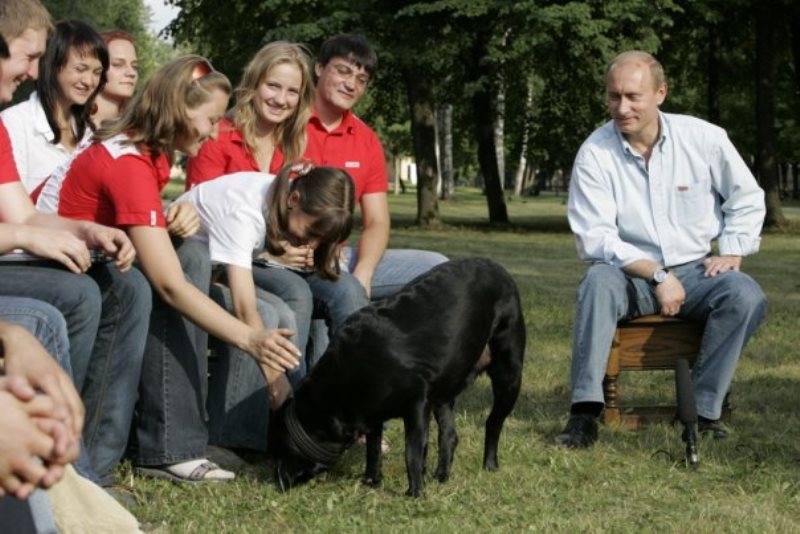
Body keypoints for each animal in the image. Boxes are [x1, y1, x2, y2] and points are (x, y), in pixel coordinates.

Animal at [272, 258, 528, 498]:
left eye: (284, 450)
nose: (278, 481)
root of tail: (498, 269)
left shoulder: (416, 405)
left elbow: (412, 451)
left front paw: (415, 492)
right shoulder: (373, 413)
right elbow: (373, 448)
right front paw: (371, 481)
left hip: (509, 375)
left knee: (493, 423)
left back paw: (490, 465)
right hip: (443, 393)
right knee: (449, 435)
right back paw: (441, 475)